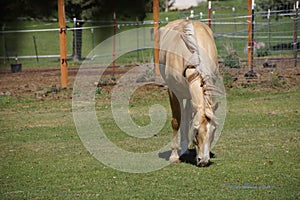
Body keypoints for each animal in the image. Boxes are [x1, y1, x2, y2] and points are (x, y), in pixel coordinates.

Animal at [159, 19, 220, 166]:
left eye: (213, 130)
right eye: (196, 131)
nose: (203, 160)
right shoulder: (174, 92)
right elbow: (176, 121)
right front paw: (174, 156)